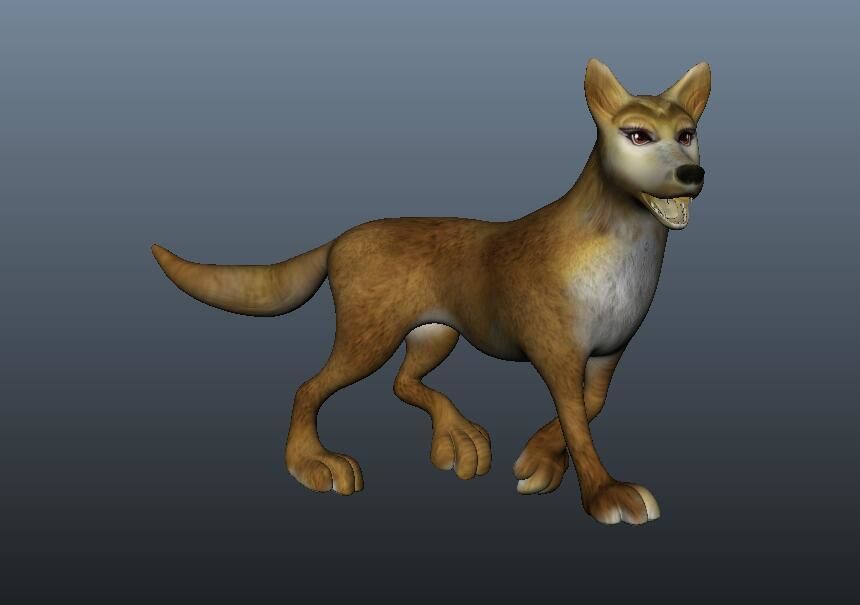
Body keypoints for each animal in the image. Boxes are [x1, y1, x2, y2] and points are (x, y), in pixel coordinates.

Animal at [151, 58, 711, 525]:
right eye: (637, 135)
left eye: (687, 134)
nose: (692, 173)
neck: (622, 256)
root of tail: (340, 238)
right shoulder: (556, 352)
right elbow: (578, 426)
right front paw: (604, 494)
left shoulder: (607, 356)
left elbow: (585, 411)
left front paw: (536, 461)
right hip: (368, 337)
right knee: (309, 388)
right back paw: (316, 463)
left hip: (434, 334)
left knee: (402, 384)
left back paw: (458, 439)